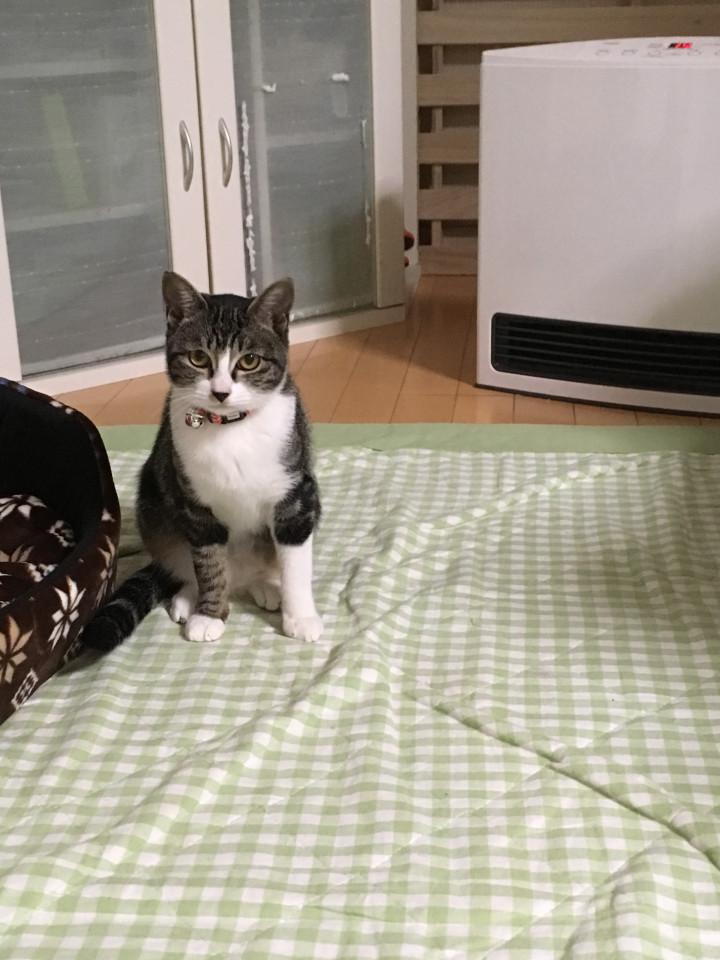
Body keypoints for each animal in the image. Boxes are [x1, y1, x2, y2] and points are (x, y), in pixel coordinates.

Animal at [82, 271, 323, 651]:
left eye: (249, 360)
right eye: (197, 357)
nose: (220, 392)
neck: (230, 428)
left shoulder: (296, 497)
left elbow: (295, 563)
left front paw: (300, 617)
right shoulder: (196, 507)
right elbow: (209, 565)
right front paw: (209, 615)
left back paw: (265, 587)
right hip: (155, 506)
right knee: (184, 562)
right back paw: (187, 599)